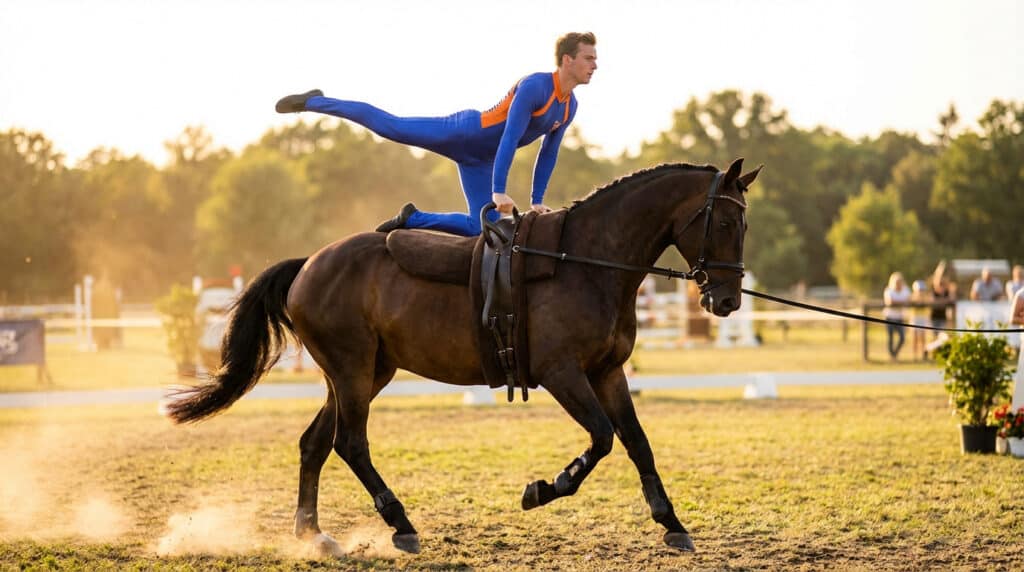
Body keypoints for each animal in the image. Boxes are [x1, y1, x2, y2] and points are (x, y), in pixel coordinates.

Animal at [164, 157, 761, 555]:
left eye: (745, 224)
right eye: (726, 222)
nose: (727, 301)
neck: (586, 261)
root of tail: (310, 263)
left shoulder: (607, 372)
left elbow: (636, 442)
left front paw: (671, 522)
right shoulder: (563, 374)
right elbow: (602, 439)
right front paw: (542, 490)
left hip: (366, 373)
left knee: (315, 443)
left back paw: (313, 534)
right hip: (352, 372)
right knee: (349, 443)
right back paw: (400, 524)